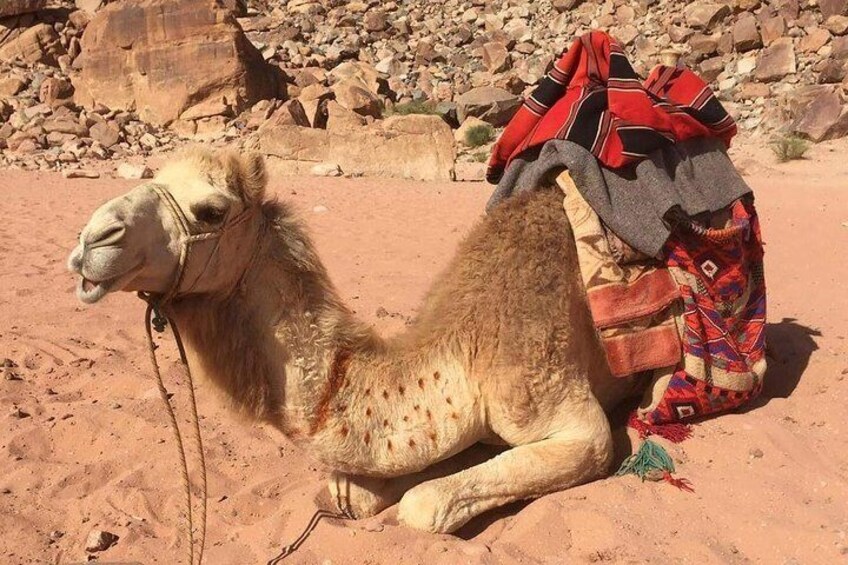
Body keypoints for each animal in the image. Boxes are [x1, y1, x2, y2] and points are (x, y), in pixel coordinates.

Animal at [68, 149, 648, 532]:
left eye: (211, 210)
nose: (92, 240)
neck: (462, 353)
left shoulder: (565, 415)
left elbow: (423, 505)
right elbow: (351, 491)